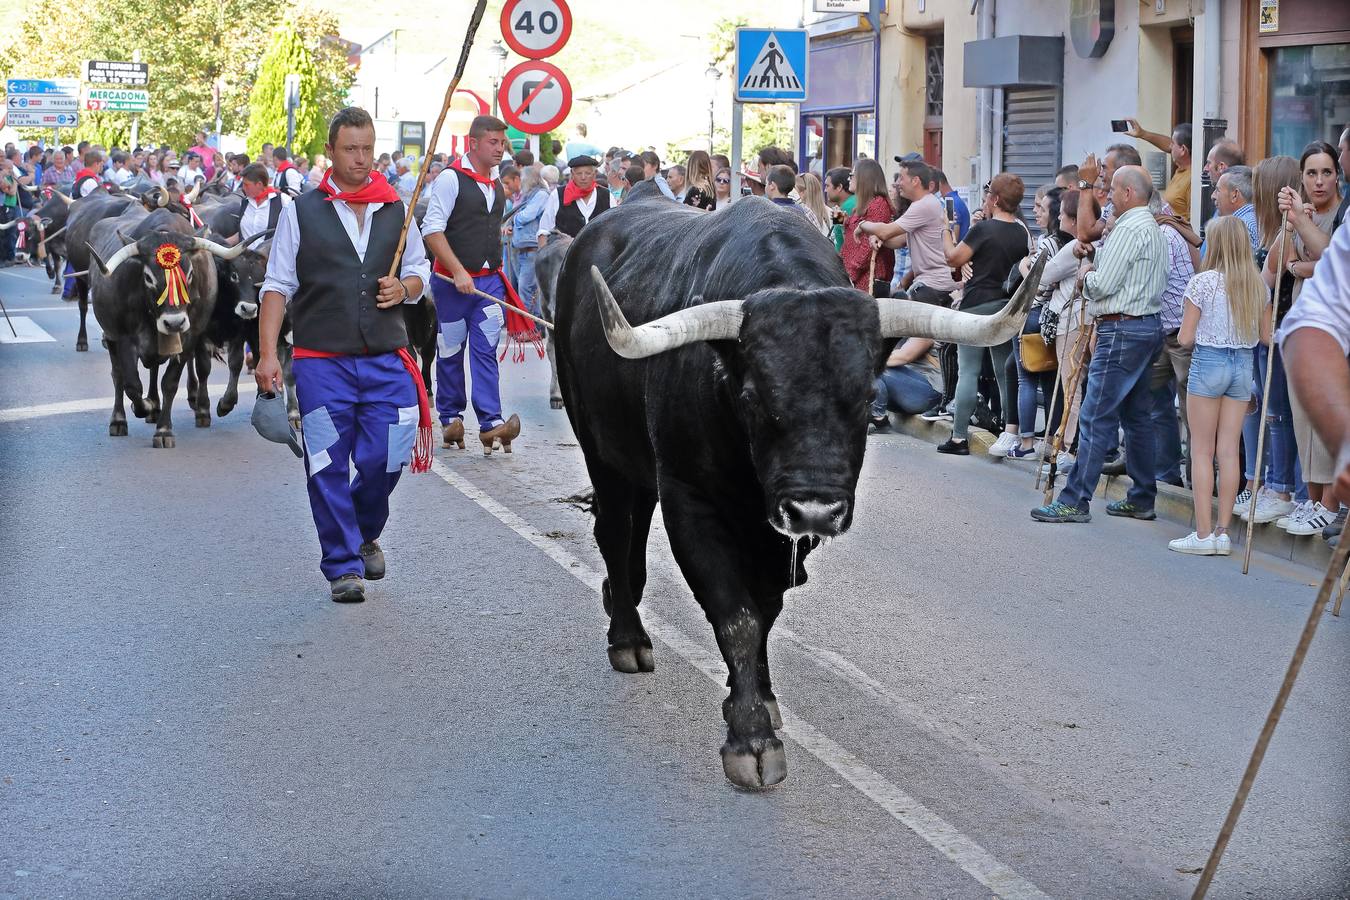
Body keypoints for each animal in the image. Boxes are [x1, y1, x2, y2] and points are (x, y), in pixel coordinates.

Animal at [553, 188, 1036, 788]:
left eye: (866, 396)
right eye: (753, 396)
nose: (814, 510)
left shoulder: (777, 538)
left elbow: (765, 611)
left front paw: (761, 697)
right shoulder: (691, 503)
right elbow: (736, 616)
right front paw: (751, 738)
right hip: (599, 448)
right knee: (616, 533)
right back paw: (628, 638)